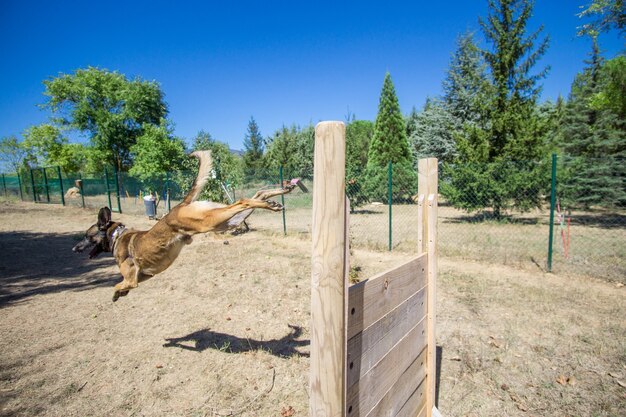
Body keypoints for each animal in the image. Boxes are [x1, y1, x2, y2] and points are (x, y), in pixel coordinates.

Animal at [72, 151, 296, 300]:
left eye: (87, 235)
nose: (74, 248)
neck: (117, 235)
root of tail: (179, 206)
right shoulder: (144, 278)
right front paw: (121, 293)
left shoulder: (132, 279)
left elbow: (117, 284)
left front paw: (117, 293)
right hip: (224, 220)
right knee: (257, 194)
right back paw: (277, 197)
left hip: (211, 221)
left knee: (243, 200)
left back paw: (272, 202)